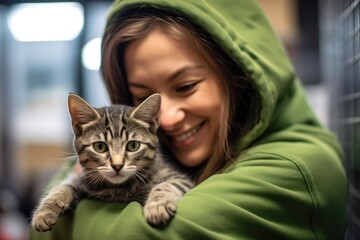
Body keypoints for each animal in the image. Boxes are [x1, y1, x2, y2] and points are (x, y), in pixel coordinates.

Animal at [31, 93, 194, 232]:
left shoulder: (179, 177)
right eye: (100, 146)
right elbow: (62, 187)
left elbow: (167, 185)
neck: (118, 189)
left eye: (133, 145)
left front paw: (157, 206)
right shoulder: (81, 178)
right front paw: (45, 211)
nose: (117, 165)